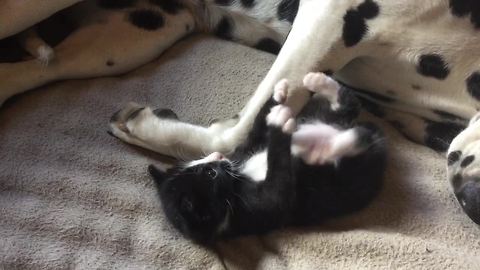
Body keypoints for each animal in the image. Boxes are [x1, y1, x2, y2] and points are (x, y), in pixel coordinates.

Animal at [148, 73, 388, 244]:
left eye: (199, 164)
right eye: (211, 173)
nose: (219, 156)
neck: (238, 177)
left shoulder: (247, 149)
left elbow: (257, 128)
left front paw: (278, 92)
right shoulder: (263, 208)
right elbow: (279, 179)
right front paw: (279, 124)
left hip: (320, 117)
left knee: (349, 106)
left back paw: (319, 82)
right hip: (347, 180)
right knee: (353, 145)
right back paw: (332, 147)